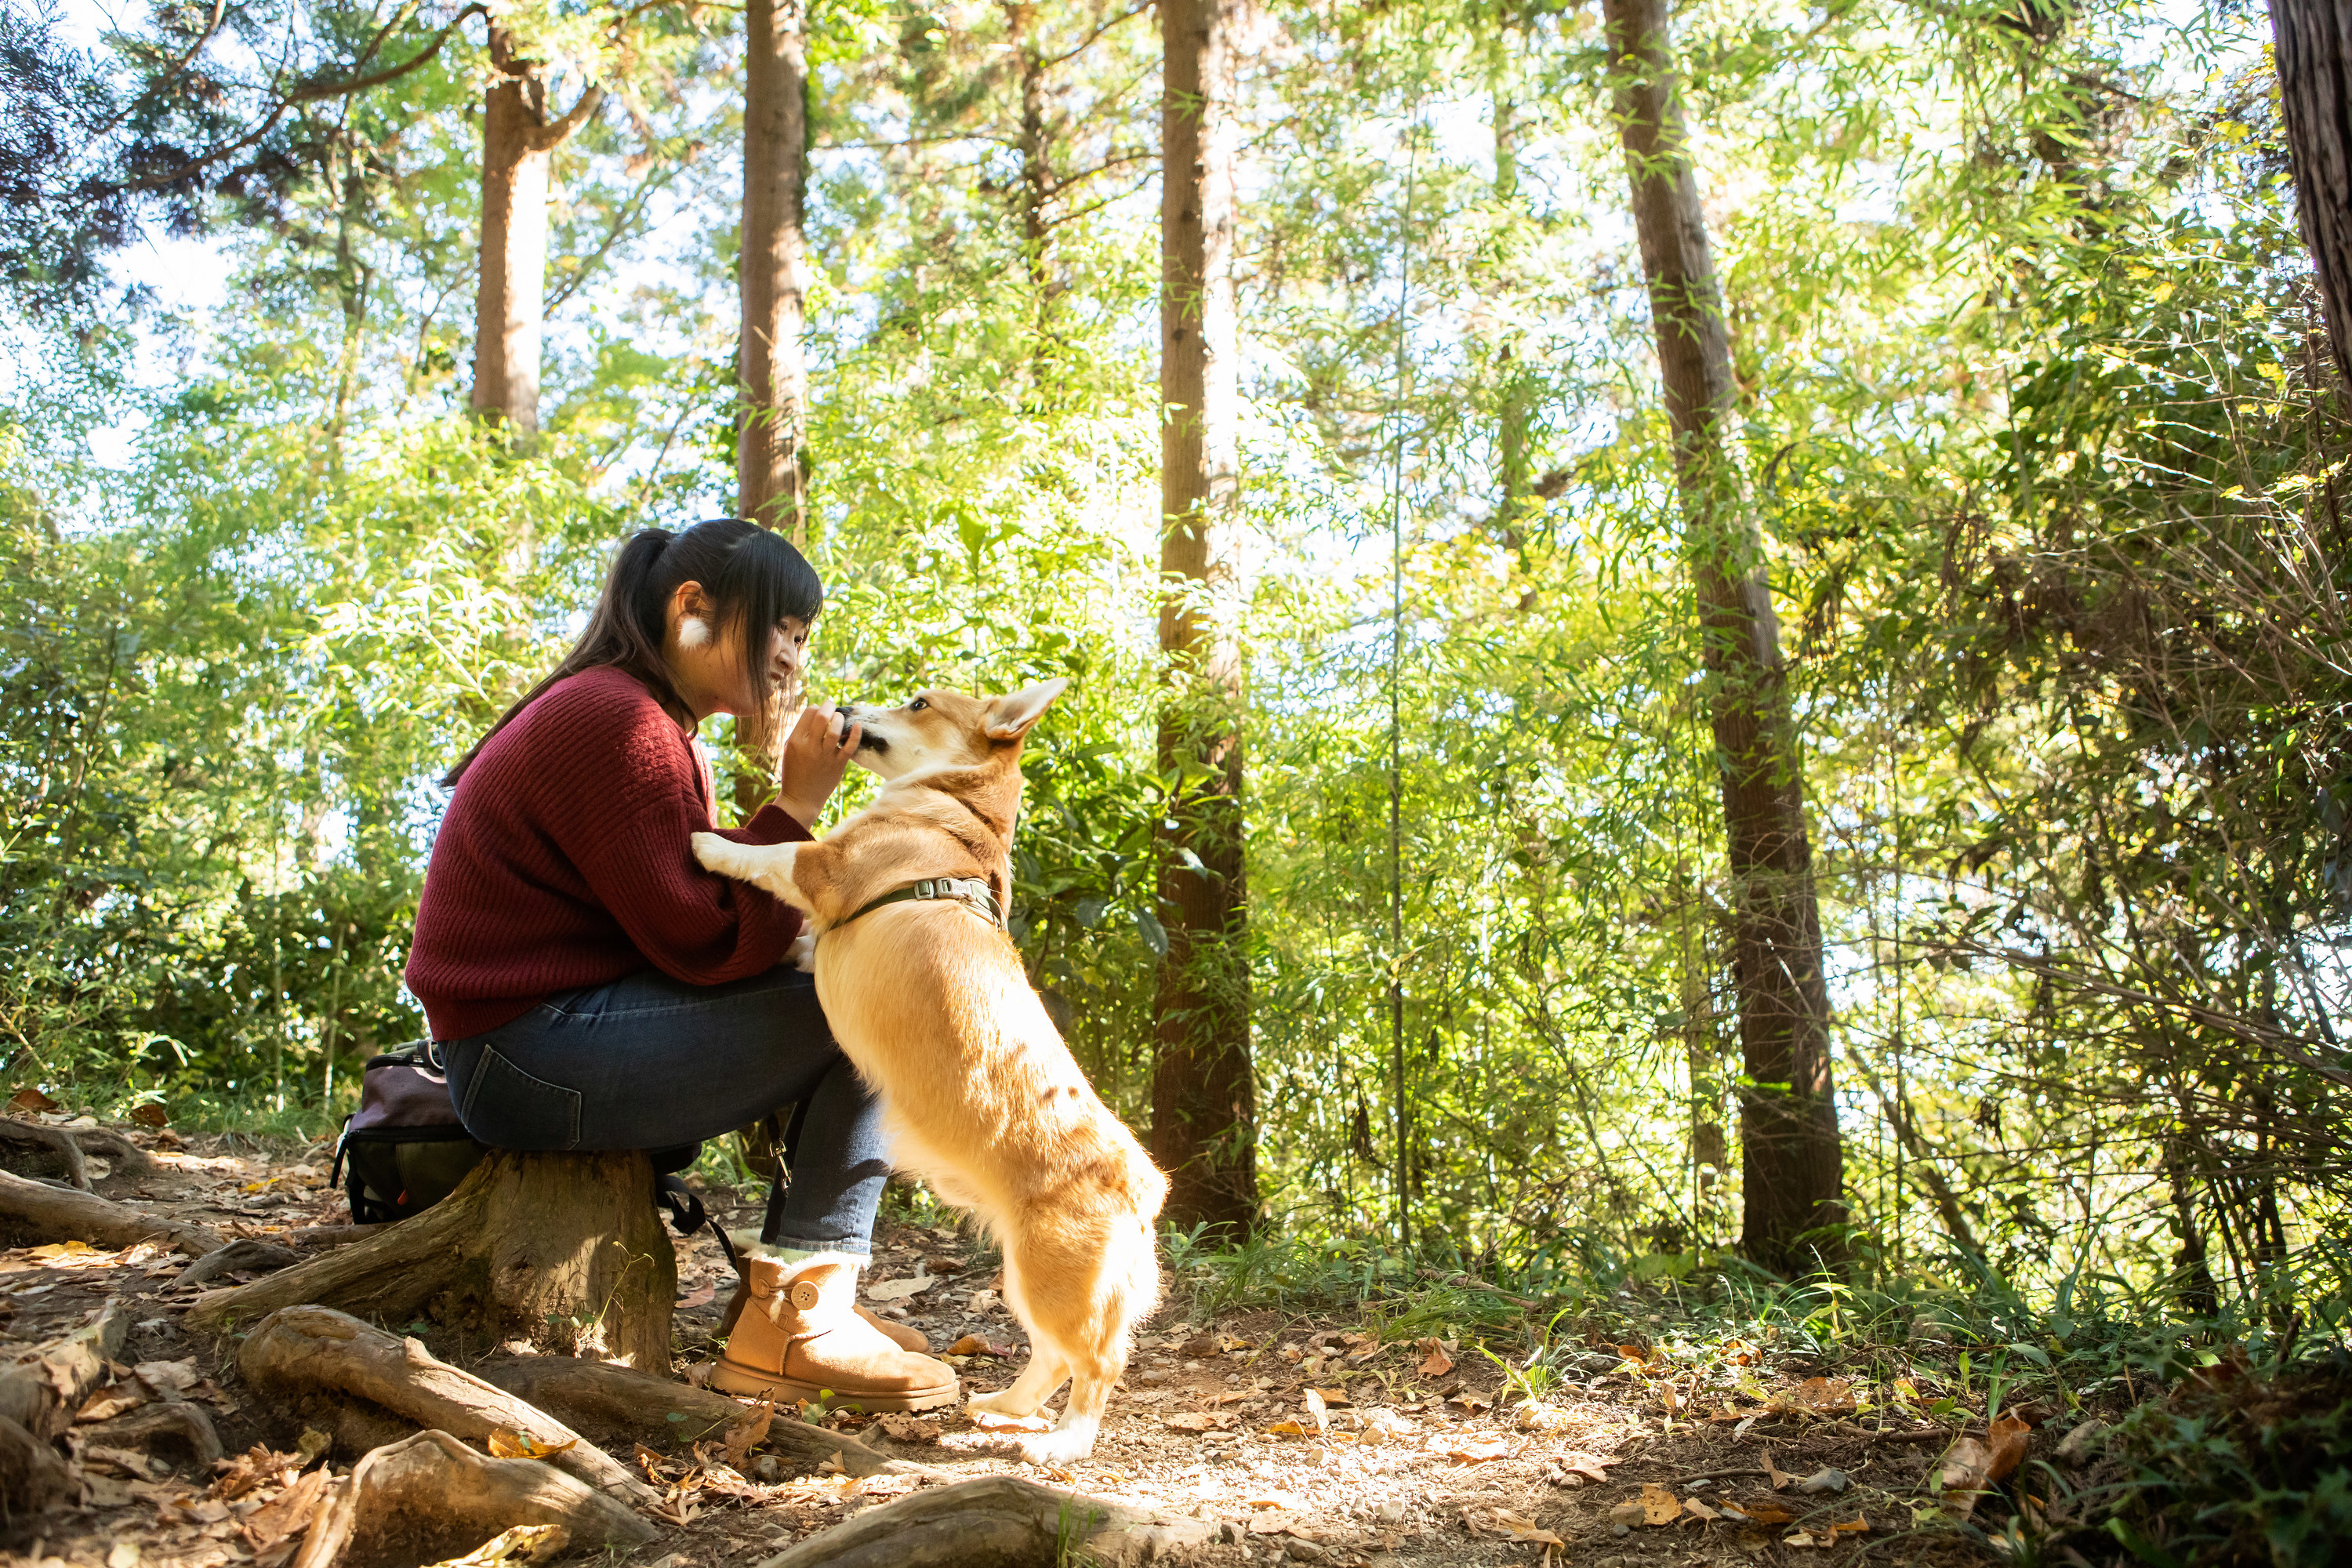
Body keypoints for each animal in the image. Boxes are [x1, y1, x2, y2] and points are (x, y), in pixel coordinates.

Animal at [696, 681, 1176, 1467]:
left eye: (919, 701)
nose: (843, 704)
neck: (958, 813)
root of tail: (1144, 1185)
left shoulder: (822, 867)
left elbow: (774, 852)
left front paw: (710, 842)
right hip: (1023, 1278)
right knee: (1050, 1358)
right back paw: (1004, 1406)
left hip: (1056, 1283)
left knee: (1097, 1364)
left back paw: (1064, 1444)